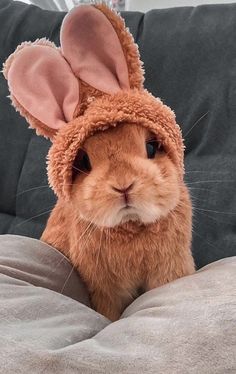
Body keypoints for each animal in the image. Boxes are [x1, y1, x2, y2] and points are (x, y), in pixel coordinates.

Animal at [3, 2, 195, 320]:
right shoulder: (104, 289)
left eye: (152, 146)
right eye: (82, 162)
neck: (131, 227)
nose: (123, 186)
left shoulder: (170, 268)